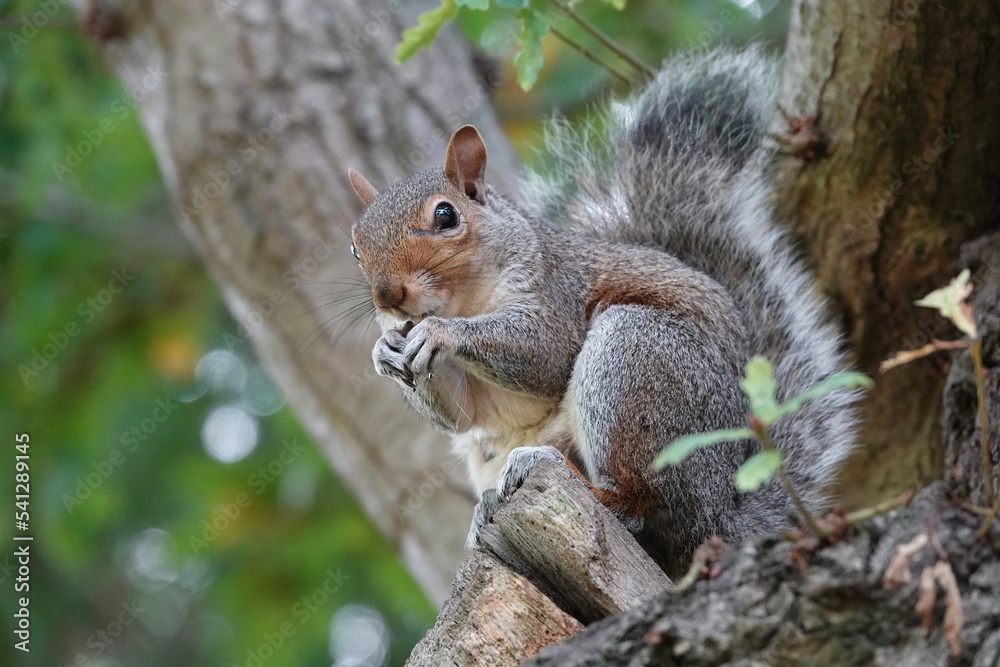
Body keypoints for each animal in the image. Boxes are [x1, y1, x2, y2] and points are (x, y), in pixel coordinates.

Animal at [346, 47, 860, 580]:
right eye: (354, 247)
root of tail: (719, 516)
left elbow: (545, 355)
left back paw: (561, 474)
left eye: (445, 216)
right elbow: (463, 413)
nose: (387, 296)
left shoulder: (559, 293)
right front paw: (385, 350)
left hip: (637, 362)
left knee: (640, 508)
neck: (464, 299)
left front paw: (441, 332)